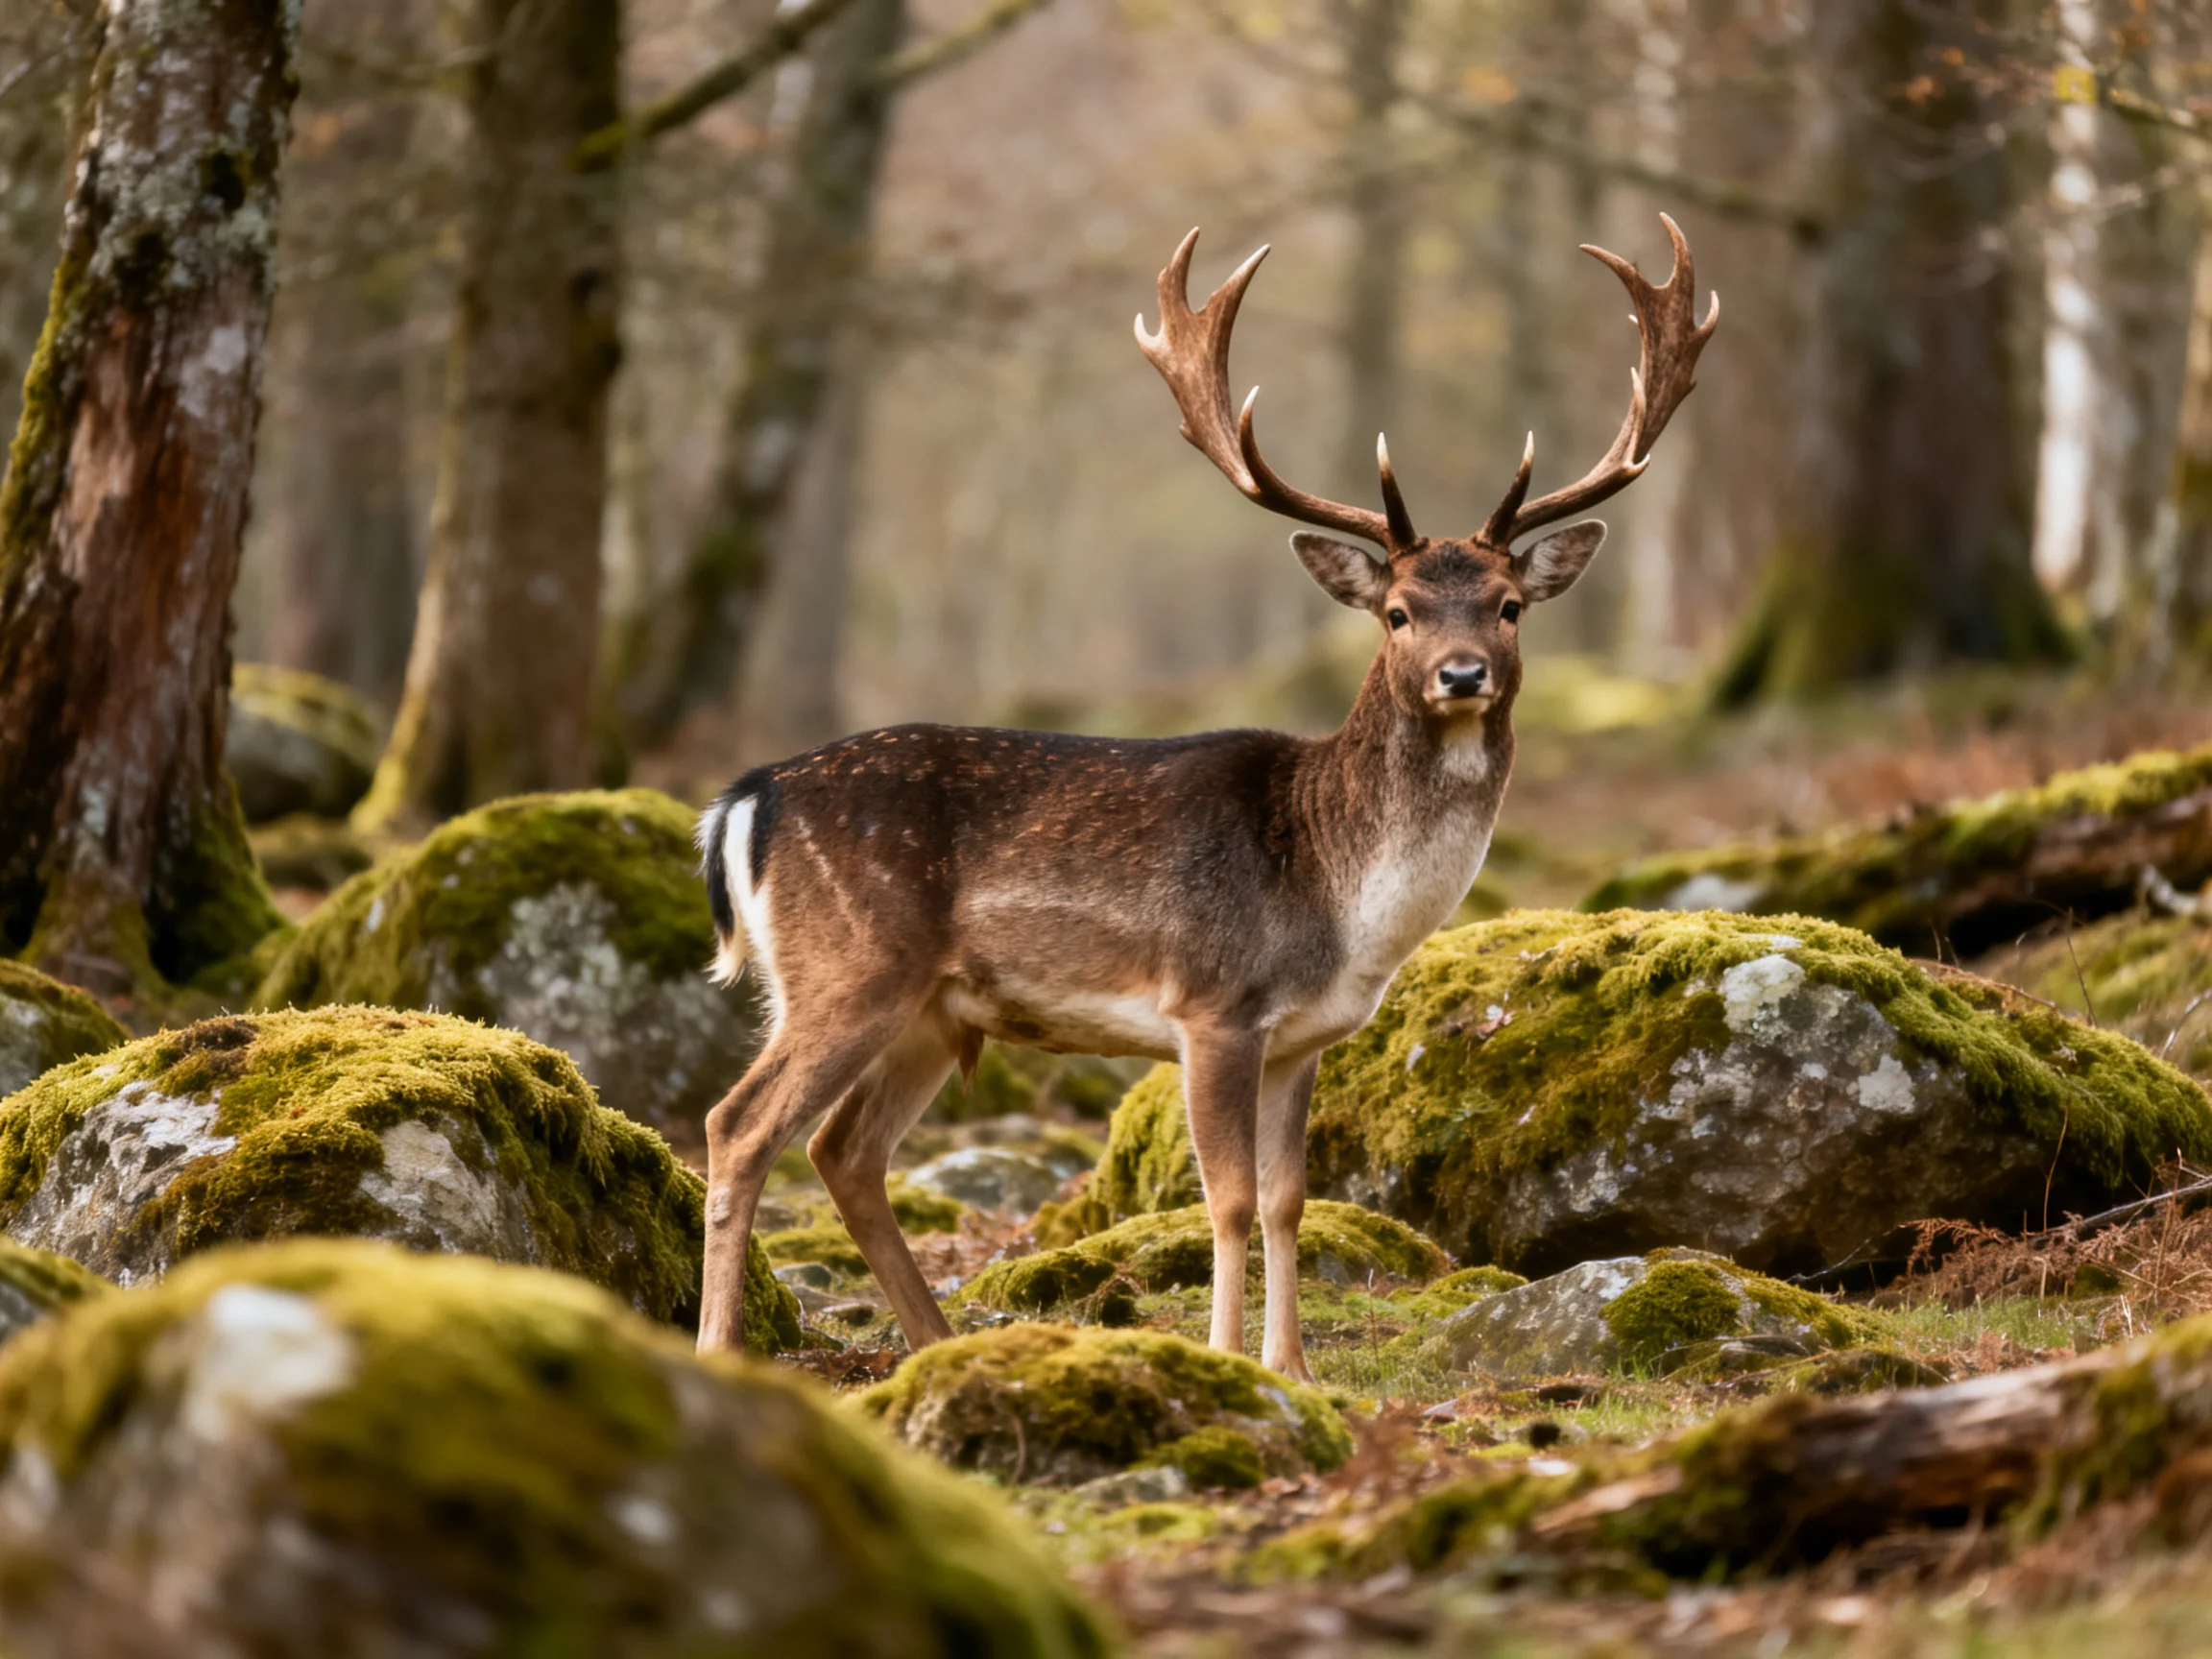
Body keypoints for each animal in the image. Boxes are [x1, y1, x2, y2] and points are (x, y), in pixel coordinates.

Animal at [694, 215, 1716, 1380]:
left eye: (1507, 605)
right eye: (1399, 613)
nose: (1463, 675)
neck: (1340, 896)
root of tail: (747, 798)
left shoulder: (1306, 1037)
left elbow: (1287, 1201)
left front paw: (1296, 1370)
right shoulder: (1215, 1006)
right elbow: (1223, 1200)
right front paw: (1232, 1361)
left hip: (928, 1008)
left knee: (843, 1149)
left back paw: (937, 1346)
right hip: (848, 966)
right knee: (740, 1126)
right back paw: (722, 1348)